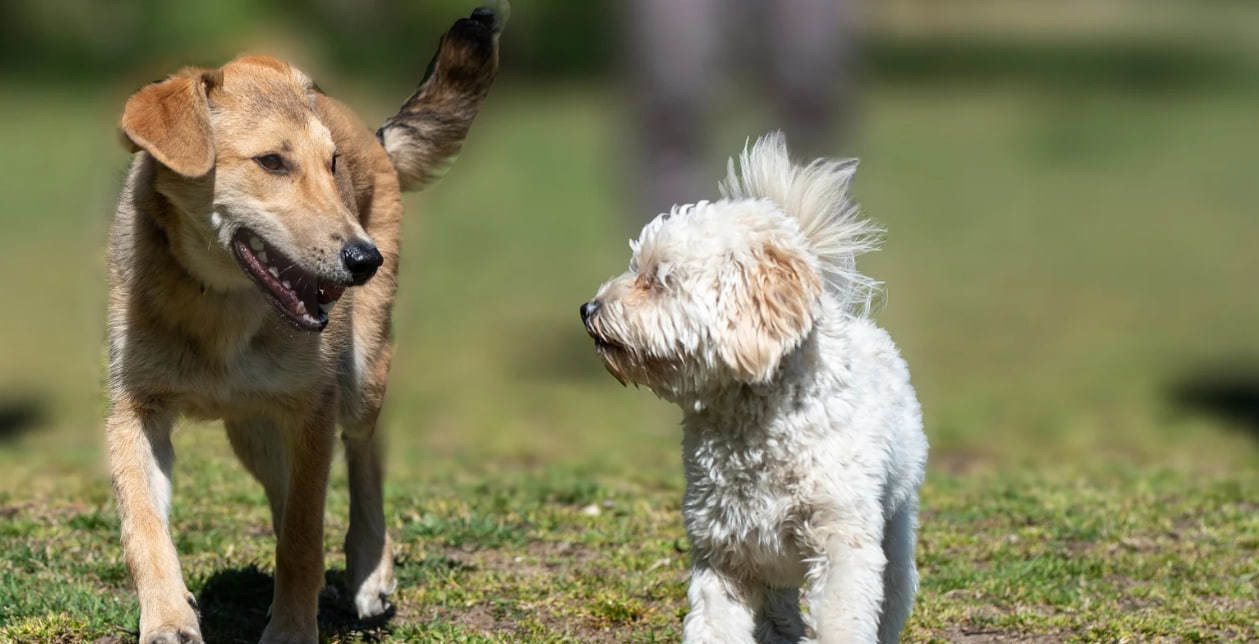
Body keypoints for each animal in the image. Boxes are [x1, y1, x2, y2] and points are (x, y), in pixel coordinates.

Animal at [105, 7, 503, 641]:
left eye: (331, 164)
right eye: (272, 162)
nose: (365, 260)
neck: (219, 306)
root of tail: (374, 135)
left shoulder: (314, 408)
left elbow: (302, 536)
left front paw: (293, 626)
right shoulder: (135, 411)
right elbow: (144, 528)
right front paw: (168, 618)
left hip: (361, 376)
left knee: (364, 456)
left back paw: (369, 571)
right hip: (253, 430)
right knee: (285, 488)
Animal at [579, 133, 926, 641]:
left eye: (658, 279)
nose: (588, 308)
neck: (753, 421)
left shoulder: (841, 541)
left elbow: (842, 618)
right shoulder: (724, 552)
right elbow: (714, 626)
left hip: (894, 527)